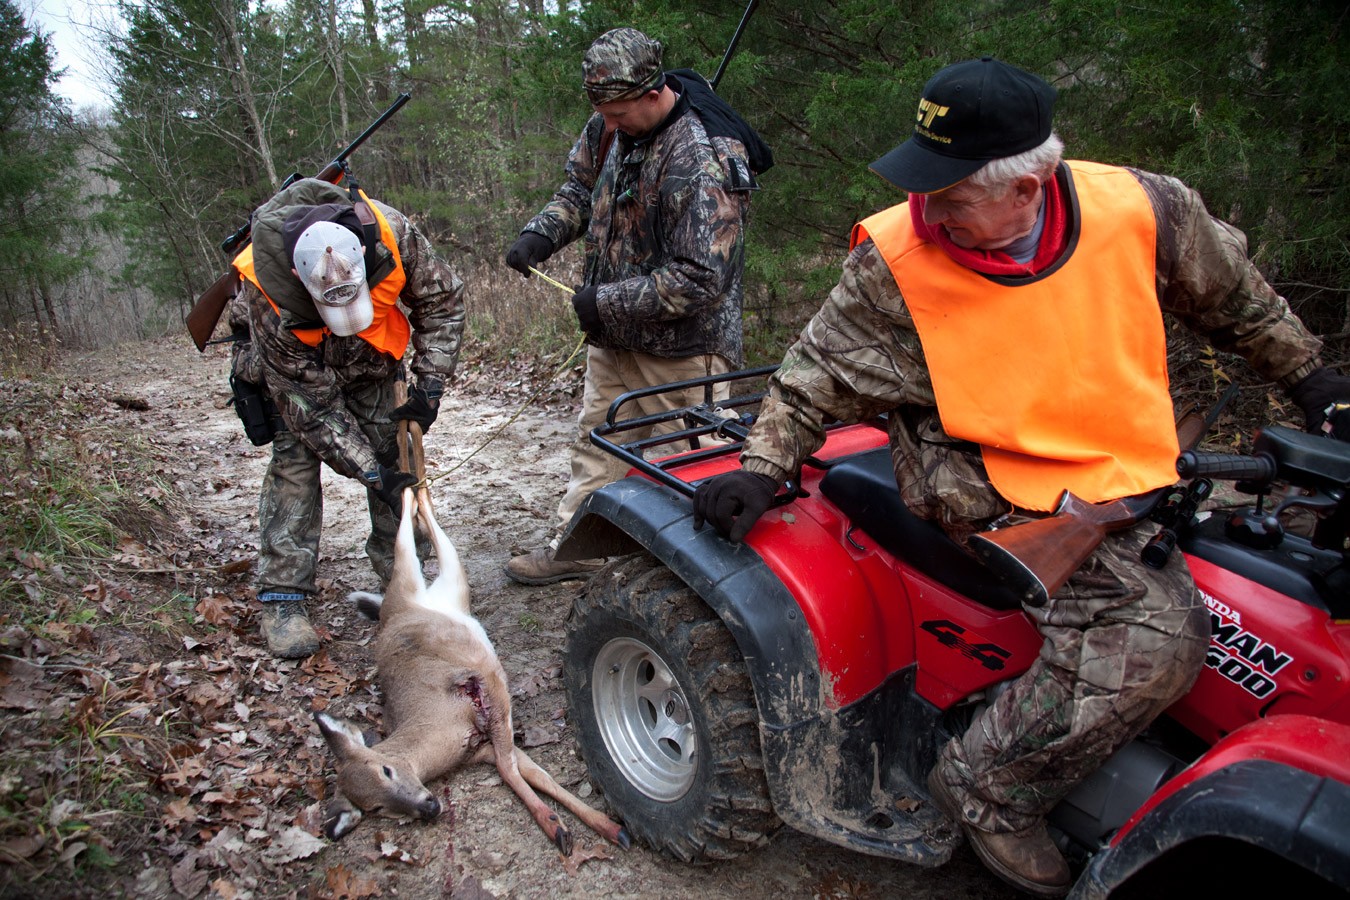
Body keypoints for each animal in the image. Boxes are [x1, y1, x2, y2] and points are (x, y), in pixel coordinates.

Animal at [313, 485, 629, 858]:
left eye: (386, 770)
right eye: (375, 808)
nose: (428, 807)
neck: (440, 730)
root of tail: (392, 612)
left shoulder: (487, 686)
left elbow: (518, 771)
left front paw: (578, 826)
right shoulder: (482, 745)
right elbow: (531, 773)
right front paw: (577, 826)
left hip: (419, 580)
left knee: (408, 546)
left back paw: (410, 491)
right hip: (451, 587)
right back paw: (419, 493)